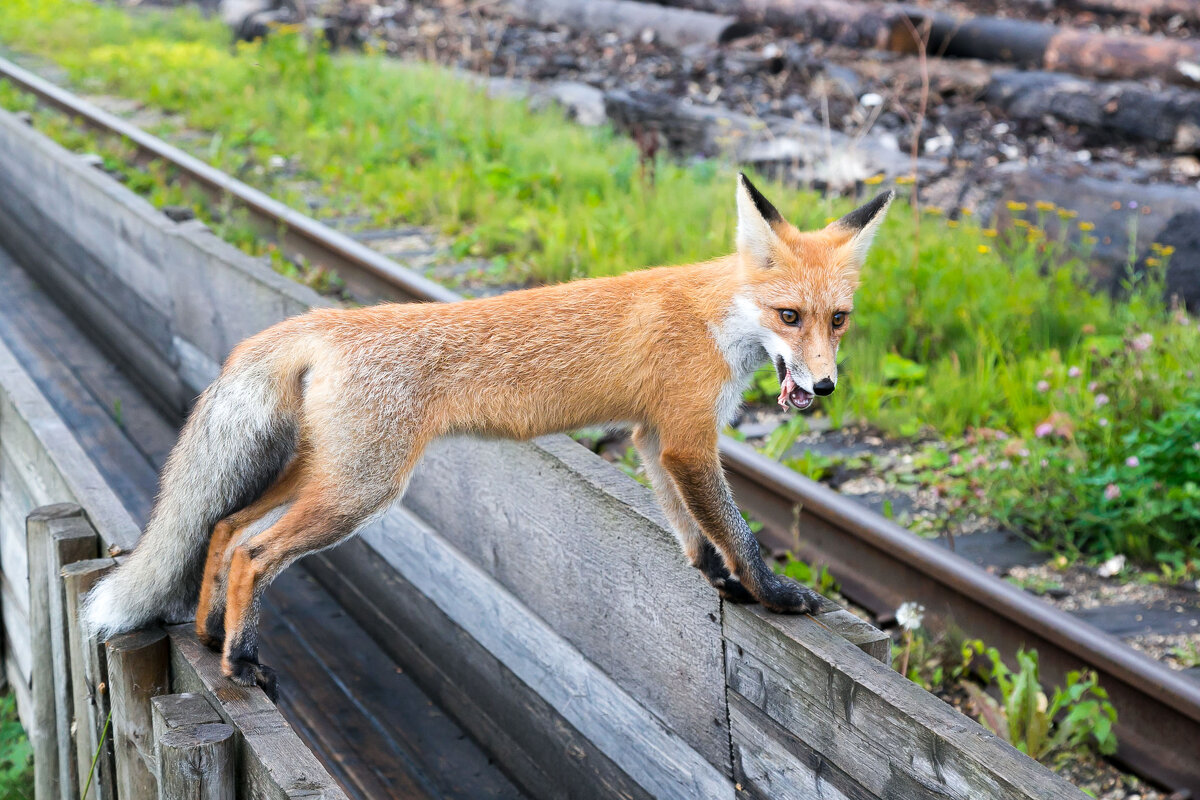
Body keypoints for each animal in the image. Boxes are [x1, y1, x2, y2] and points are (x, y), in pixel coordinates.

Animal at [84, 173, 892, 695]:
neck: (715, 315)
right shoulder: (688, 437)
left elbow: (691, 529)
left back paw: (211, 635)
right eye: (789, 316)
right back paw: (242, 662)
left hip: (324, 473)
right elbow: (738, 530)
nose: (824, 388)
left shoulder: (650, 436)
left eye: (839, 320)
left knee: (221, 528)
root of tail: (323, 321)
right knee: (254, 552)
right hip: (360, 491)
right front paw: (774, 593)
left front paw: (719, 581)